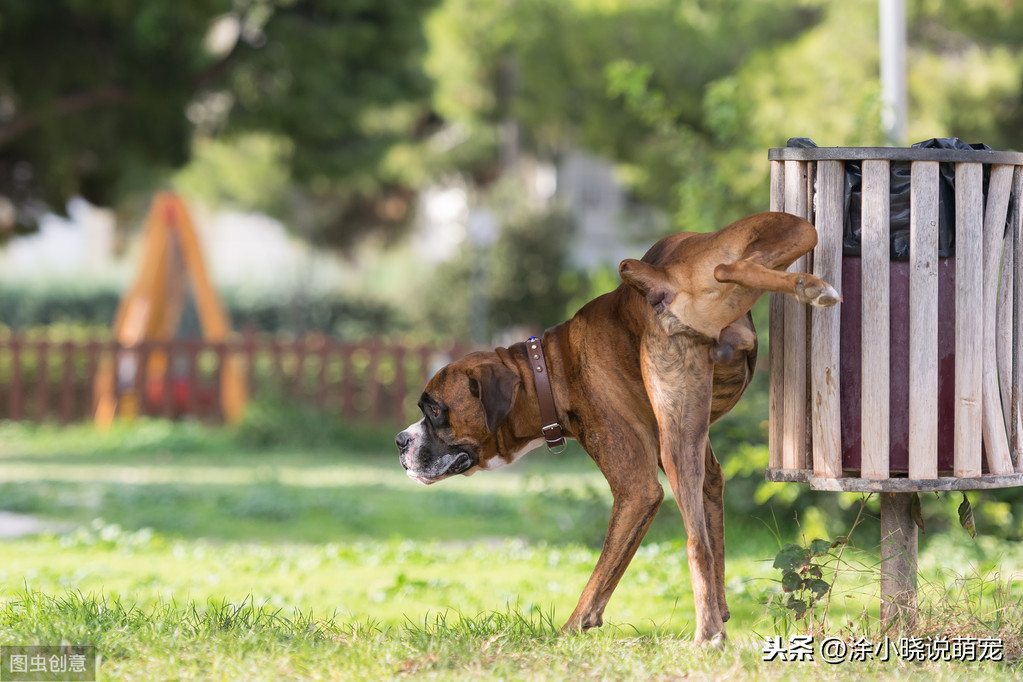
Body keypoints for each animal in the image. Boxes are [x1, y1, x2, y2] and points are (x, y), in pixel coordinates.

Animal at [394, 210, 834, 642]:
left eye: (435, 410)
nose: (400, 440)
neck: (548, 369)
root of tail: (662, 277)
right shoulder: (707, 471)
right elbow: (716, 539)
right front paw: (722, 613)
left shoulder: (636, 490)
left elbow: (602, 575)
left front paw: (570, 630)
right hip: (791, 232)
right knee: (733, 266)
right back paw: (808, 286)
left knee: (695, 545)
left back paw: (704, 636)